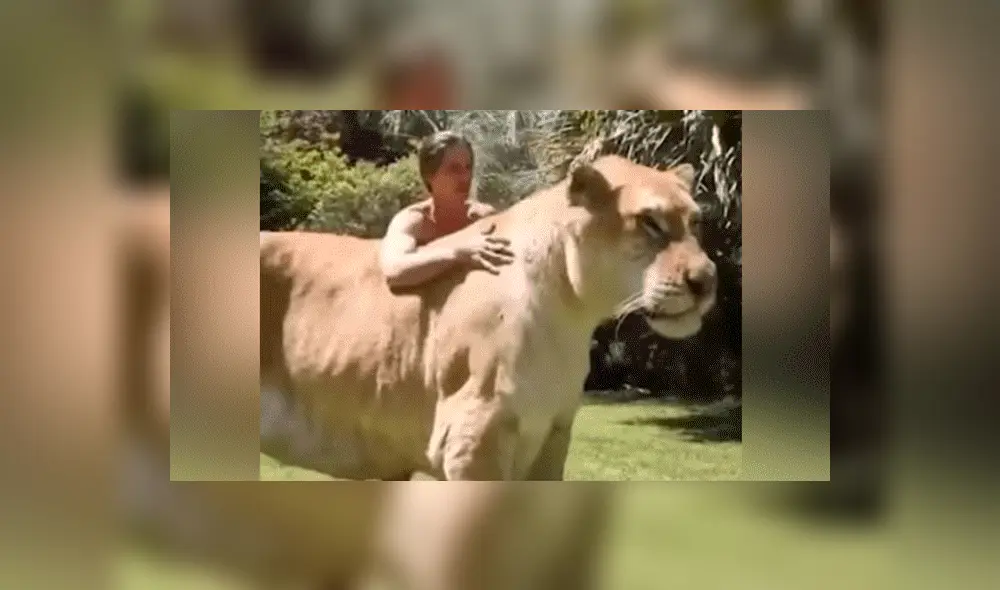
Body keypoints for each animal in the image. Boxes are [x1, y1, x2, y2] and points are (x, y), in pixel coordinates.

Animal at [260, 154, 717, 481]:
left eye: (695, 222)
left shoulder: (553, 436)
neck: (570, 314)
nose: (707, 281)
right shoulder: (472, 438)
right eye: (649, 222)